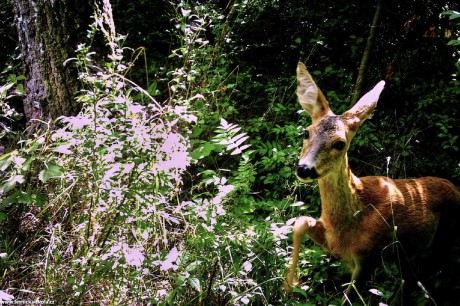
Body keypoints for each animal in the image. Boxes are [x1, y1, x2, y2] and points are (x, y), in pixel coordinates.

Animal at [284, 62, 460, 298]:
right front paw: (290, 283)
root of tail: (456, 188)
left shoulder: (368, 259)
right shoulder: (333, 243)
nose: (304, 169)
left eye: (340, 143)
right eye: (306, 132)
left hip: (444, 241)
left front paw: (290, 283)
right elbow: (300, 221)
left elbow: (348, 297)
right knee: (411, 279)